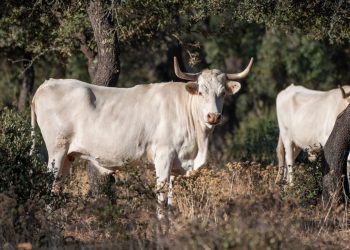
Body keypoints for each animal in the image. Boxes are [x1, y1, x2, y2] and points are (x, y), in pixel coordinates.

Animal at [30, 56, 252, 215]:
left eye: (222, 93)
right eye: (201, 92)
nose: (213, 116)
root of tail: (47, 84)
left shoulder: (176, 165)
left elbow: (171, 201)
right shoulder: (163, 157)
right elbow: (161, 198)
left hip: (68, 156)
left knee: (57, 188)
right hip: (56, 151)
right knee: (49, 187)